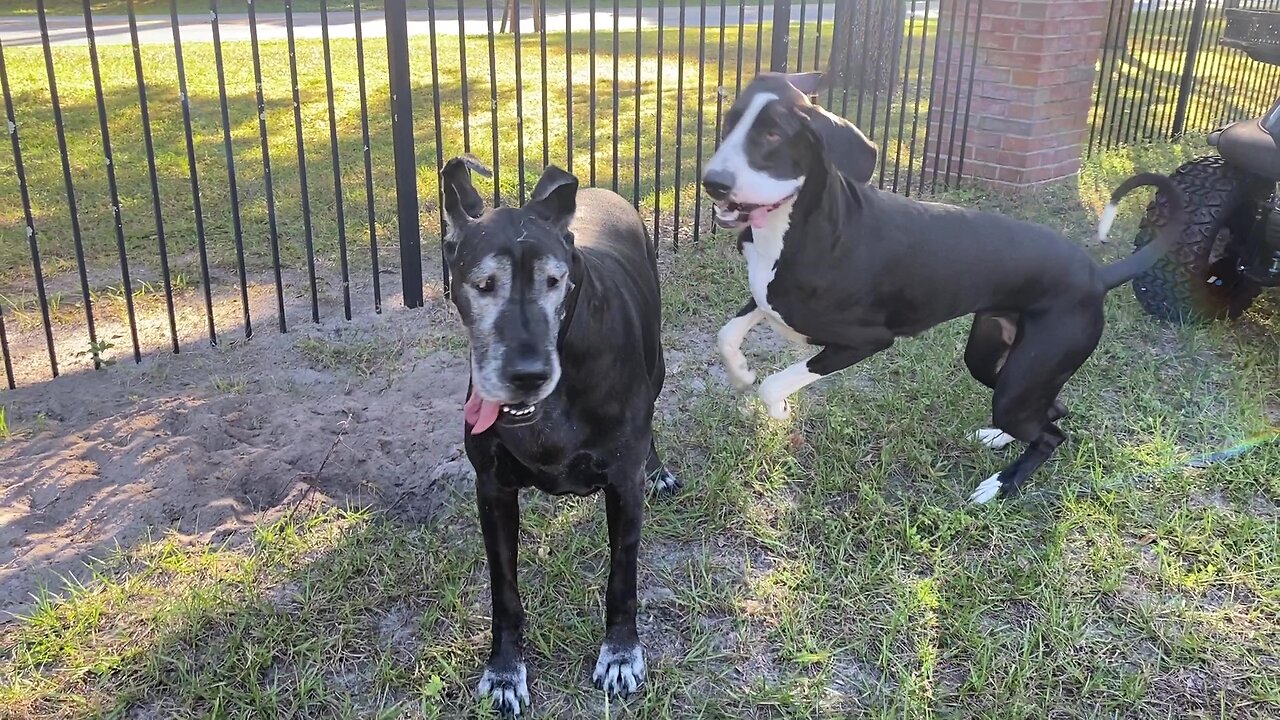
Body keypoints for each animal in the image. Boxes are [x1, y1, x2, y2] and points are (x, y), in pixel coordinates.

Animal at [440, 156, 680, 712]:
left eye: (556, 281)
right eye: (483, 284)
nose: (526, 374)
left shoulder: (623, 484)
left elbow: (622, 578)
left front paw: (620, 654)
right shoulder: (492, 489)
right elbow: (504, 591)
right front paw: (505, 671)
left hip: (657, 363)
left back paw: (658, 469)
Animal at [706, 71, 1182, 499]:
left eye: (773, 134)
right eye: (730, 122)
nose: (713, 182)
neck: (799, 227)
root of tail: (1097, 274)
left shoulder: (864, 341)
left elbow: (774, 382)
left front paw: (779, 411)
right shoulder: (767, 297)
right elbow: (726, 335)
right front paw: (742, 373)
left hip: (1021, 379)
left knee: (1052, 435)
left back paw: (1001, 485)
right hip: (995, 360)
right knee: (1054, 410)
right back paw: (999, 438)